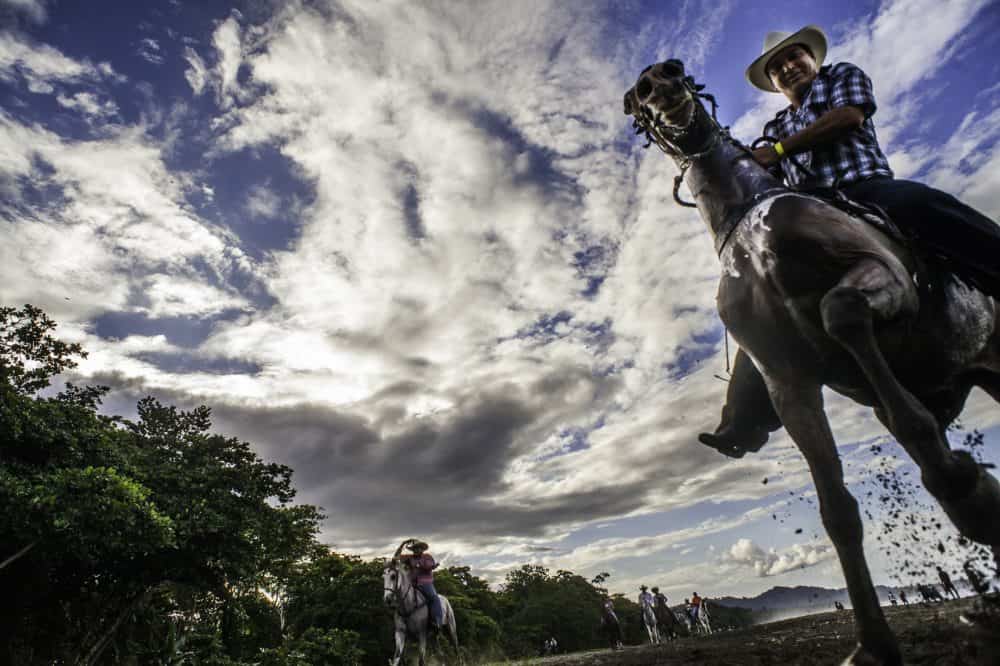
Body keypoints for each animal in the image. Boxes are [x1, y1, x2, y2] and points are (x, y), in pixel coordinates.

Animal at [624, 59, 1000, 660]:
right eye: (639, 96)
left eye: (675, 71)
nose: (666, 89)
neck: (750, 222)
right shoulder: (787, 380)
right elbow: (837, 511)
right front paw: (872, 646)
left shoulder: (885, 278)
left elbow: (843, 314)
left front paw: (968, 491)